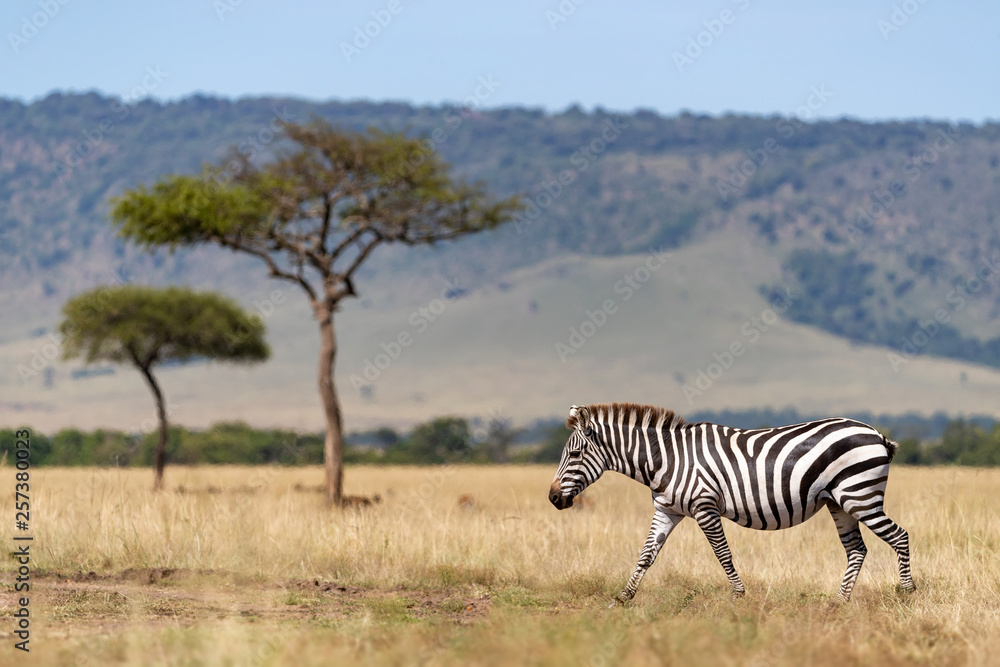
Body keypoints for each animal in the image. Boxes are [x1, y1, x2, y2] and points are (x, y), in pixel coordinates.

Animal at [548, 402, 915, 604]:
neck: (666, 459)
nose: (552, 498)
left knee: (900, 536)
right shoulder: (666, 511)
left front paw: (738, 594)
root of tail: (876, 434)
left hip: (861, 496)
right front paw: (625, 596)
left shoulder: (704, 506)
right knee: (857, 549)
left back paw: (907, 590)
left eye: (575, 454)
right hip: (839, 502)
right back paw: (839, 602)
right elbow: (646, 555)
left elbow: (722, 553)